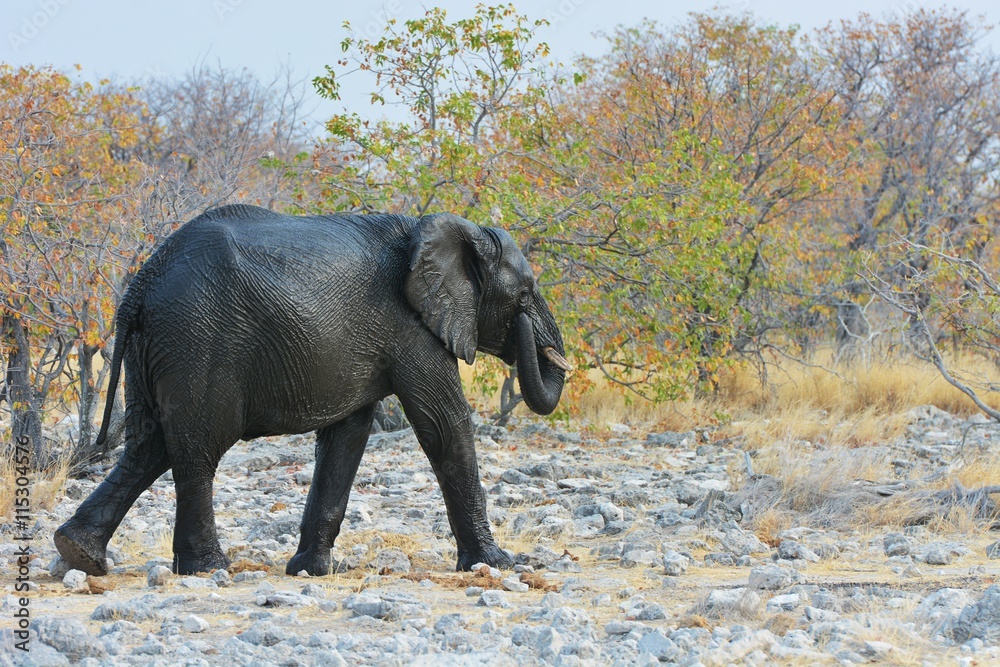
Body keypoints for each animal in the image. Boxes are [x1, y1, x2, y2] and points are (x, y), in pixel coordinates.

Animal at [54, 204, 570, 576]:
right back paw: (207, 569)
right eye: (525, 295)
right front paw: (497, 564)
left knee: (148, 446)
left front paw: (311, 571)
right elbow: (444, 425)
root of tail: (141, 284)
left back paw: (79, 554)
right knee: (196, 449)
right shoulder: (412, 326)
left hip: (155, 348)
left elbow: (347, 436)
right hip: (198, 340)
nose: (530, 331)